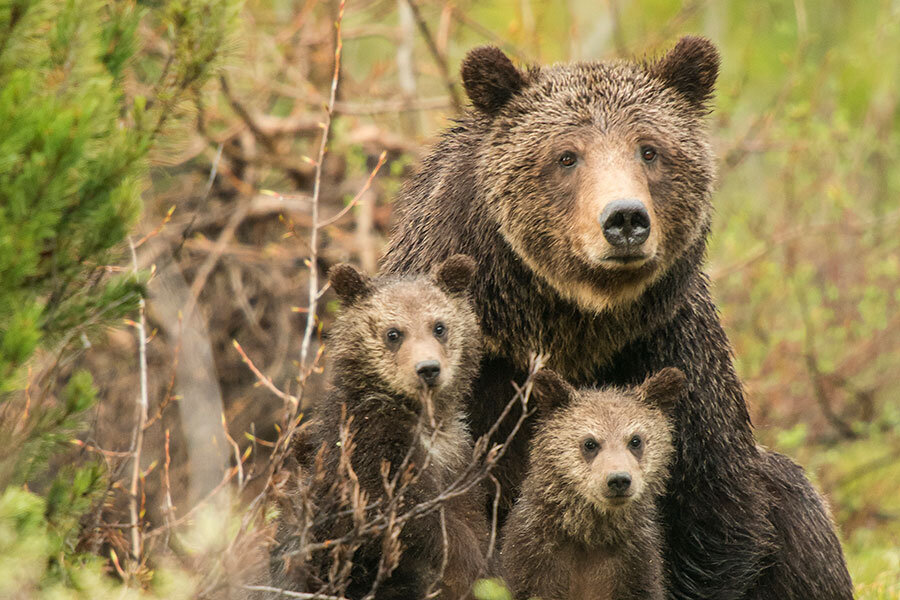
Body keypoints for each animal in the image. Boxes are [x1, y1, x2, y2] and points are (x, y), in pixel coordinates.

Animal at [268, 254, 488, 600]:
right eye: (393, 333)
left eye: (439, 327)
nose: (428, 369)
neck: (423, 418)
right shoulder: (368, 444)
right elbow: (406, 516)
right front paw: (465, 568)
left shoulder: (456, 454)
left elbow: (470, 512)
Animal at [500, 366, 684, 600]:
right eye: (590, 443)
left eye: (635, 440)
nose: (618, 480)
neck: (589, 533)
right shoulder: (533, 560)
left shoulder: (635, 565)